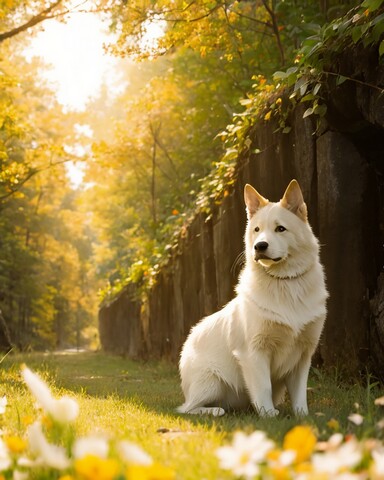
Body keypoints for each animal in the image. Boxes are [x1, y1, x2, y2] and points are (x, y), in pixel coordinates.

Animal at [177, 180, 328, 416]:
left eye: (280, 228)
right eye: (257, 230)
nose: (259, 246)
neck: (284, 283)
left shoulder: (303, 354)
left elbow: (300, 393)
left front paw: (302, 416)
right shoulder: (254, 352)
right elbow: (263, 386)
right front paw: (268, 414)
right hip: (211, 382)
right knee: (186, 408)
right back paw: (214, 411)